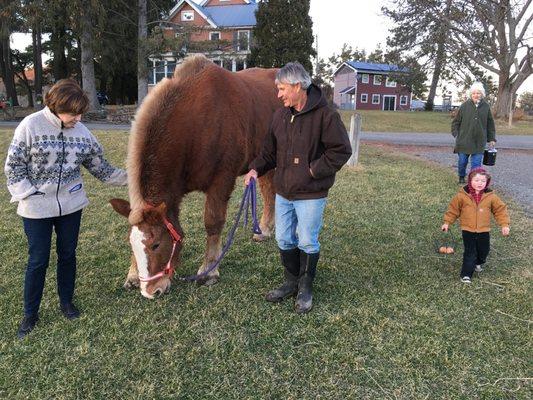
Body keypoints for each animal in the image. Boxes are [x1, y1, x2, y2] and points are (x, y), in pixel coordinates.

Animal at [110, 57, 280, 300]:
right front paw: (133, 274)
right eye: (130, 243)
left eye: (156, 244)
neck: (196, 124)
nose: (151, 291)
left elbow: (213, 222)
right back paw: (264, 229)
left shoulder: (222, 180)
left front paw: (209, 270)